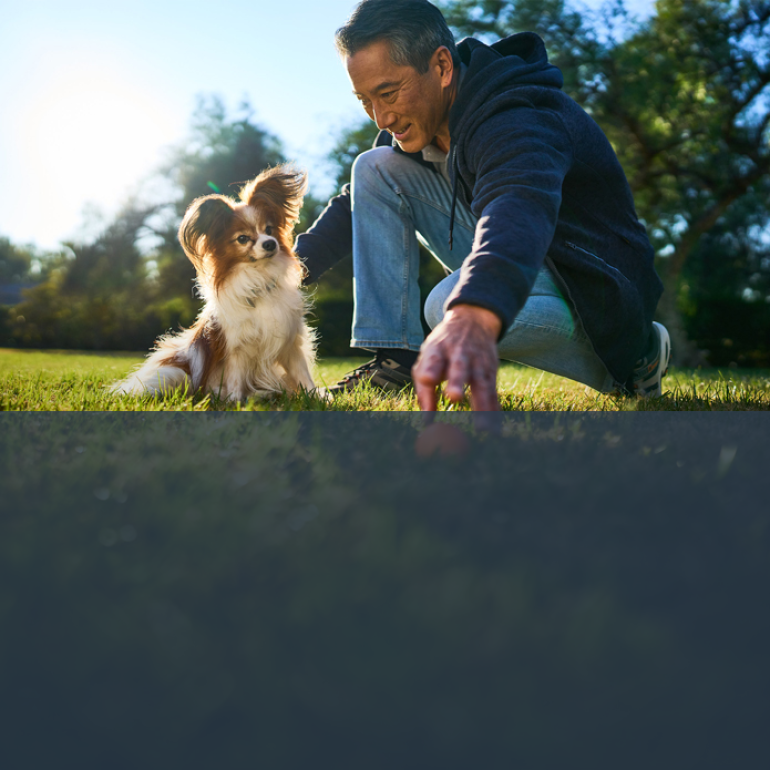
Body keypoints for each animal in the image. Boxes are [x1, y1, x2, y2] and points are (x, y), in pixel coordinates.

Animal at [113, 164, 316, 400]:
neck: (259, 276)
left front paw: (319, 397)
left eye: (269, 230)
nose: (270, 244)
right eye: (242, 239)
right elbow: (235, 379)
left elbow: (303, 374)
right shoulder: (236, 347)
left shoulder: (290, 341)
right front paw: (236, 402)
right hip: (176, 374)